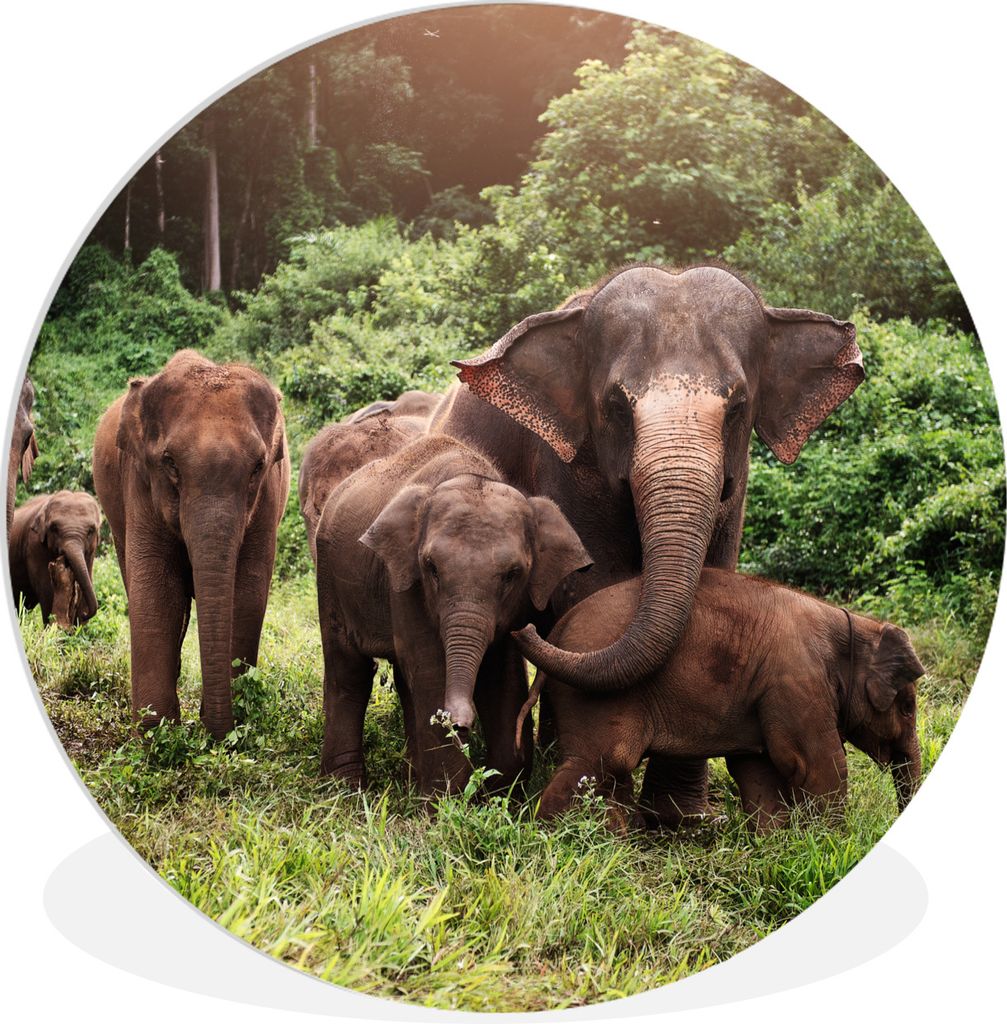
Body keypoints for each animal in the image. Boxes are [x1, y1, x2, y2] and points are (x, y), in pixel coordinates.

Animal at [8, 490, 101, 629]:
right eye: (54, 528)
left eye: (91, 530)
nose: (84, 615)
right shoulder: (34, 544)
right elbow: (47, 588)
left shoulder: (91, 551)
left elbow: (87, 577)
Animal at [92, 349, 290, 738]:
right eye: (170, 463)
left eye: (257, 467)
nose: (216, 732)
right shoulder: (140, 480)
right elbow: (157, 590)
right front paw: (155, 734)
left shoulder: (267, 496)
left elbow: (247, 590)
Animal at [315, 433, 591, 798]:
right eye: (431, 567)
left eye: (513, 574)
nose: (460, 722)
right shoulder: (405, 582)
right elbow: (432, 670)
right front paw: (442, 804)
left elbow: (501, 675)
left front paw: (499, 796)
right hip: (329, 575)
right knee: (348, 670)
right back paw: (344, 790)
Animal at [436, 262, 863, 824]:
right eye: (617, 406)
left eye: (739, 406)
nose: (523, 628)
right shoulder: (567, 467)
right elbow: (595, 585)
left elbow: (715, 576)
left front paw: (682, 820)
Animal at [520, 570, 924, 833]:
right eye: (908, 708)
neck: (854, 623)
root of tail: (556, 629)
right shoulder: (796, 682)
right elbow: (818, 766)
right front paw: (829, 844)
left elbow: (757, 768)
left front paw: (777, 843)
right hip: (595, 699)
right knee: (600, 763)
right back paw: (556, 838)